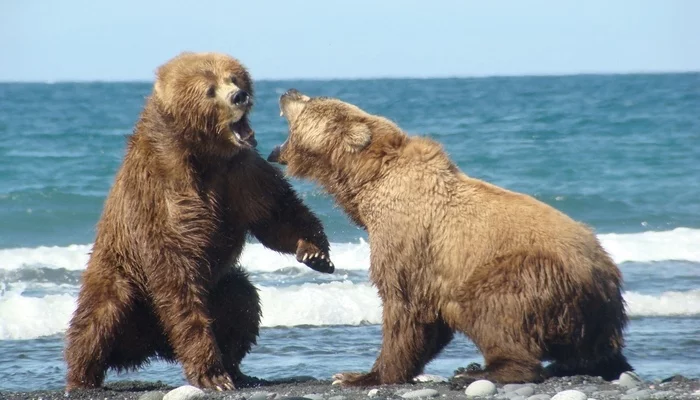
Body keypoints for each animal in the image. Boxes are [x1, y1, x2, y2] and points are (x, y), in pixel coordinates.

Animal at [61, 53, 334, 390]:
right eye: (209, 90)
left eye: (234, 78)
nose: (239, 96)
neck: (203, 153)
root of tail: (153, 346)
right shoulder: (163, 191)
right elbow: (175, 266)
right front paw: (211, 375)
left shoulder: (241, 173)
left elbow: (275, 213)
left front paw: (315, 253)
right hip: (122, 277)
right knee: (98, 317)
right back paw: (82, 376)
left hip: (218, 288)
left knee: (242, 300)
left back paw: (237, 370)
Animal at [268, 90, 636, 388]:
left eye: (311, 100)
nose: (288, 91)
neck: (364, 184)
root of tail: (605, 279)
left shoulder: (409, 238)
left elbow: (405, 305)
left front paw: (358, 375)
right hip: (590, 313)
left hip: (531, 273)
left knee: (493, 307)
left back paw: (479, 371)